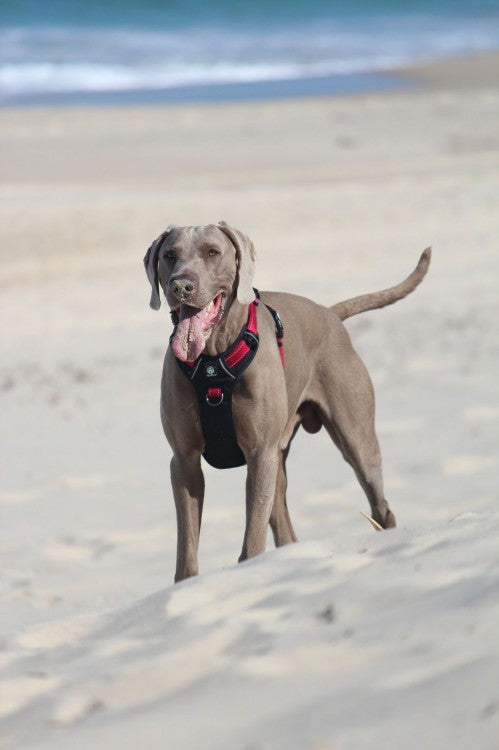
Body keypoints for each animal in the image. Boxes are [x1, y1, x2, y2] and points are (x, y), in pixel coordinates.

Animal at [144, 220, 430, 584]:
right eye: (169, 255)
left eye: (212, 252)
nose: (181, 285)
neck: (212, 360)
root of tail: (330, 314)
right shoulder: (184, 462)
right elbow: (187, 549)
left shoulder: (259, 454)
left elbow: (253, 539)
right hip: (277, 461)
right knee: (283, 522)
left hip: (356, 440)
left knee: (379, 502)